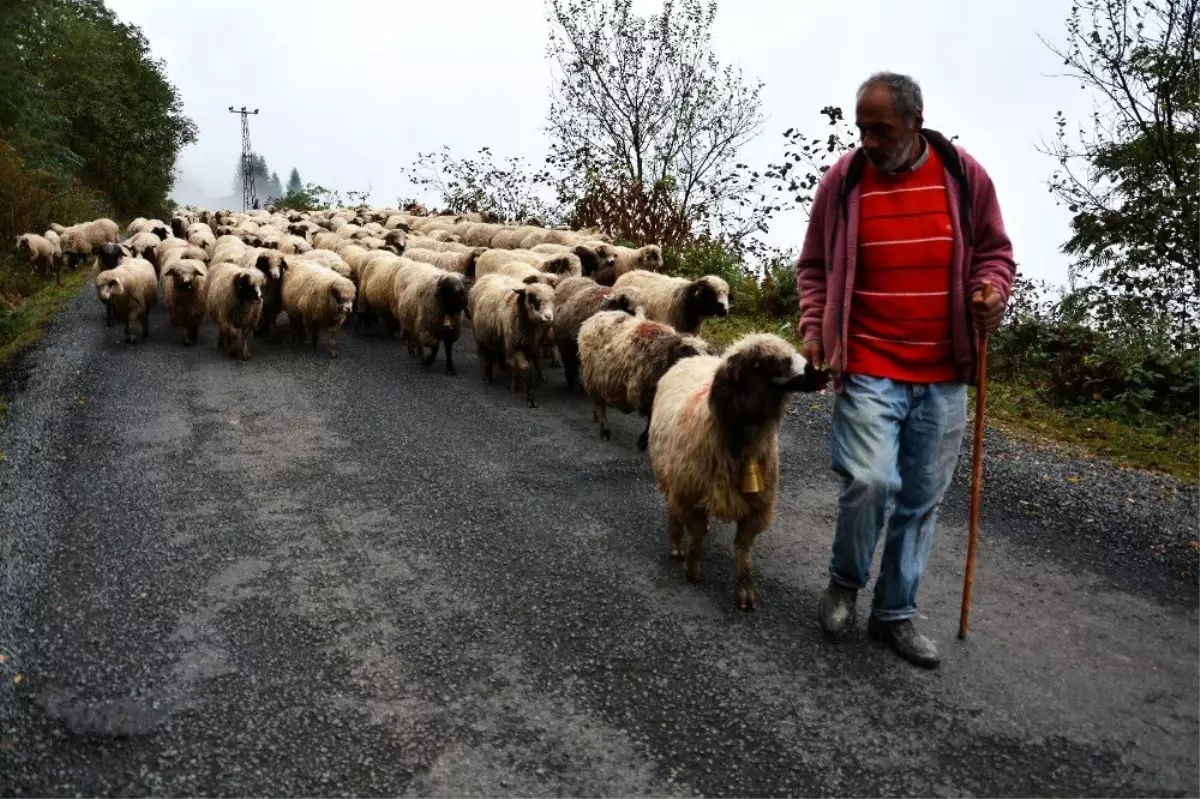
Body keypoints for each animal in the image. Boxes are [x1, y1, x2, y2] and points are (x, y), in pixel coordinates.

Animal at [465, 275, 554, 410]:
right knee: (483, 355)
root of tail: (487, 276)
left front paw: (516, 385)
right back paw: (486, 377)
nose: (549, 317)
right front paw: (529, 398)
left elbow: (526, 364)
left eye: (553, 298)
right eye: (532, 298)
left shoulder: (530, 347)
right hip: (479, 336)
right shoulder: (514, 347)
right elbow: (525, 369)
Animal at [578, 307, 705, 448]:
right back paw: (604, 431)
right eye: (687, 355)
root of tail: (597, 315)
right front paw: (643, 441)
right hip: (593, 376)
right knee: (599, 403)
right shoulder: (647, 393)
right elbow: (650, 417)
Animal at [652, 333, 830, 607]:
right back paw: (676, 542)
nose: (816, 372)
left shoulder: (757, 506)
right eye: (763, 362)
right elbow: (698, 535)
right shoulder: (690, 493)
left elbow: (743, 550)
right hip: (675, 477)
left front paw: (745, 590)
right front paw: (692, 568)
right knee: (674, 509)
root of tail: (691, 359)